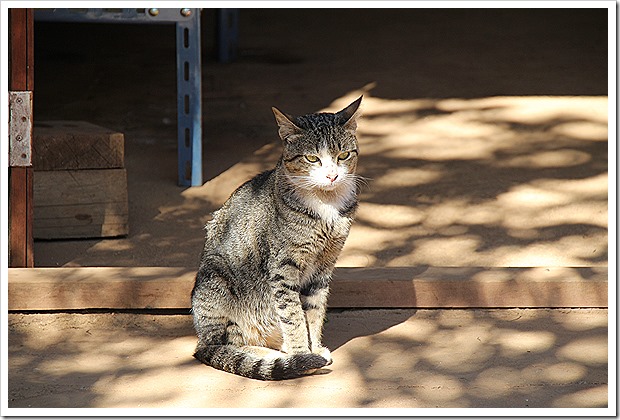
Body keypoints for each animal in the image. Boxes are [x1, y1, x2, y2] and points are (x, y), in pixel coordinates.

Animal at [191, 97, 360, 380]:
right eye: (312, 158)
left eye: (343, 155)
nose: (332, 176)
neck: (326, 205)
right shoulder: (283, 269)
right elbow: (293, 317)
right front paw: (302, 355)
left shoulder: (324, 266)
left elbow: (313, 311)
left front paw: (313, 347)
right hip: (217, 281)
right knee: (223, 345)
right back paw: (274, 356)